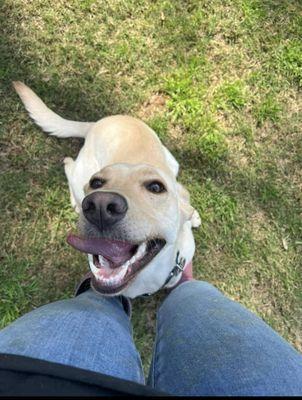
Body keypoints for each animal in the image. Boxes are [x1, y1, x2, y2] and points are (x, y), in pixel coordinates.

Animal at [13, 81, 201, 298]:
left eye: (156, 187)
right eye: (96, 183)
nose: (100, 205)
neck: (142, 281)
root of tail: (97, 123)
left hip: (172, 161)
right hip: (81, 173)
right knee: (69, 165)